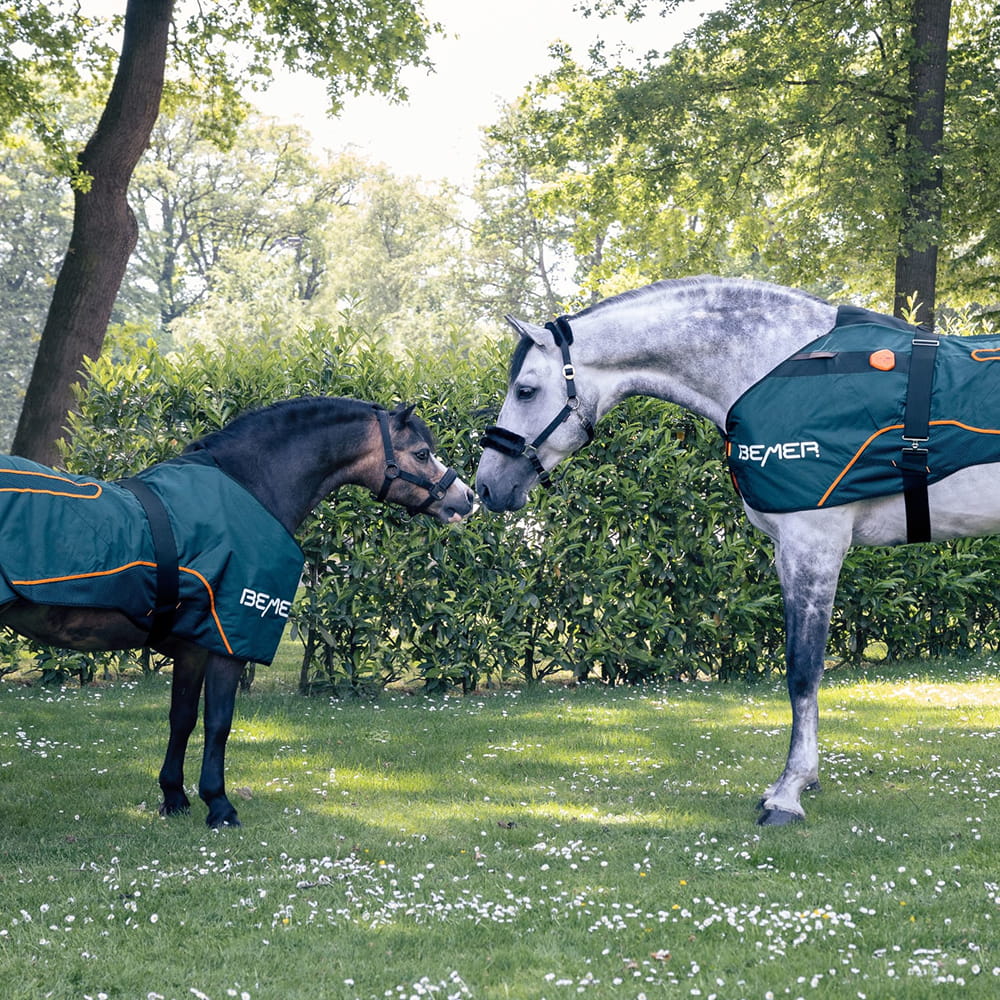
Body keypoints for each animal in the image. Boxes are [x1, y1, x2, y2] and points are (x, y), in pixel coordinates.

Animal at [1, 396, 476, 827]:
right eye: (422, 453)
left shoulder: (194, 645)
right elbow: (218, 723)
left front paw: (174, 798)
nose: (466, 498)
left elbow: (182, 719)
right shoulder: (228, 642)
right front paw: (219, 805)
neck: (250, 487)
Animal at [476, 276, 1000, 826]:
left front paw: (789, 793)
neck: (773, 366)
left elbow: (803, 671)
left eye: (525, 389)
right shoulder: (791, 553)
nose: (487, 485)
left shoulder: (813, 547)